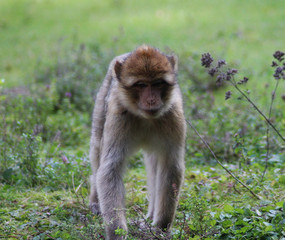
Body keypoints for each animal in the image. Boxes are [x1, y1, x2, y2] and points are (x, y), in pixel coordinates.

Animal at [89, 45, 186, 240]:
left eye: (157, 83)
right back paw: (95, 201)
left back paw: (150, 217)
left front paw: (161, 227)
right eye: (141, 85)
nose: (151, 100)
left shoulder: (174, 116)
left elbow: (171, 166)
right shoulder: (118, 114)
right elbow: (110, 169)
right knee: (97, 148)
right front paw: (117, 233)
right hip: (103, 101)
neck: (145, 118)